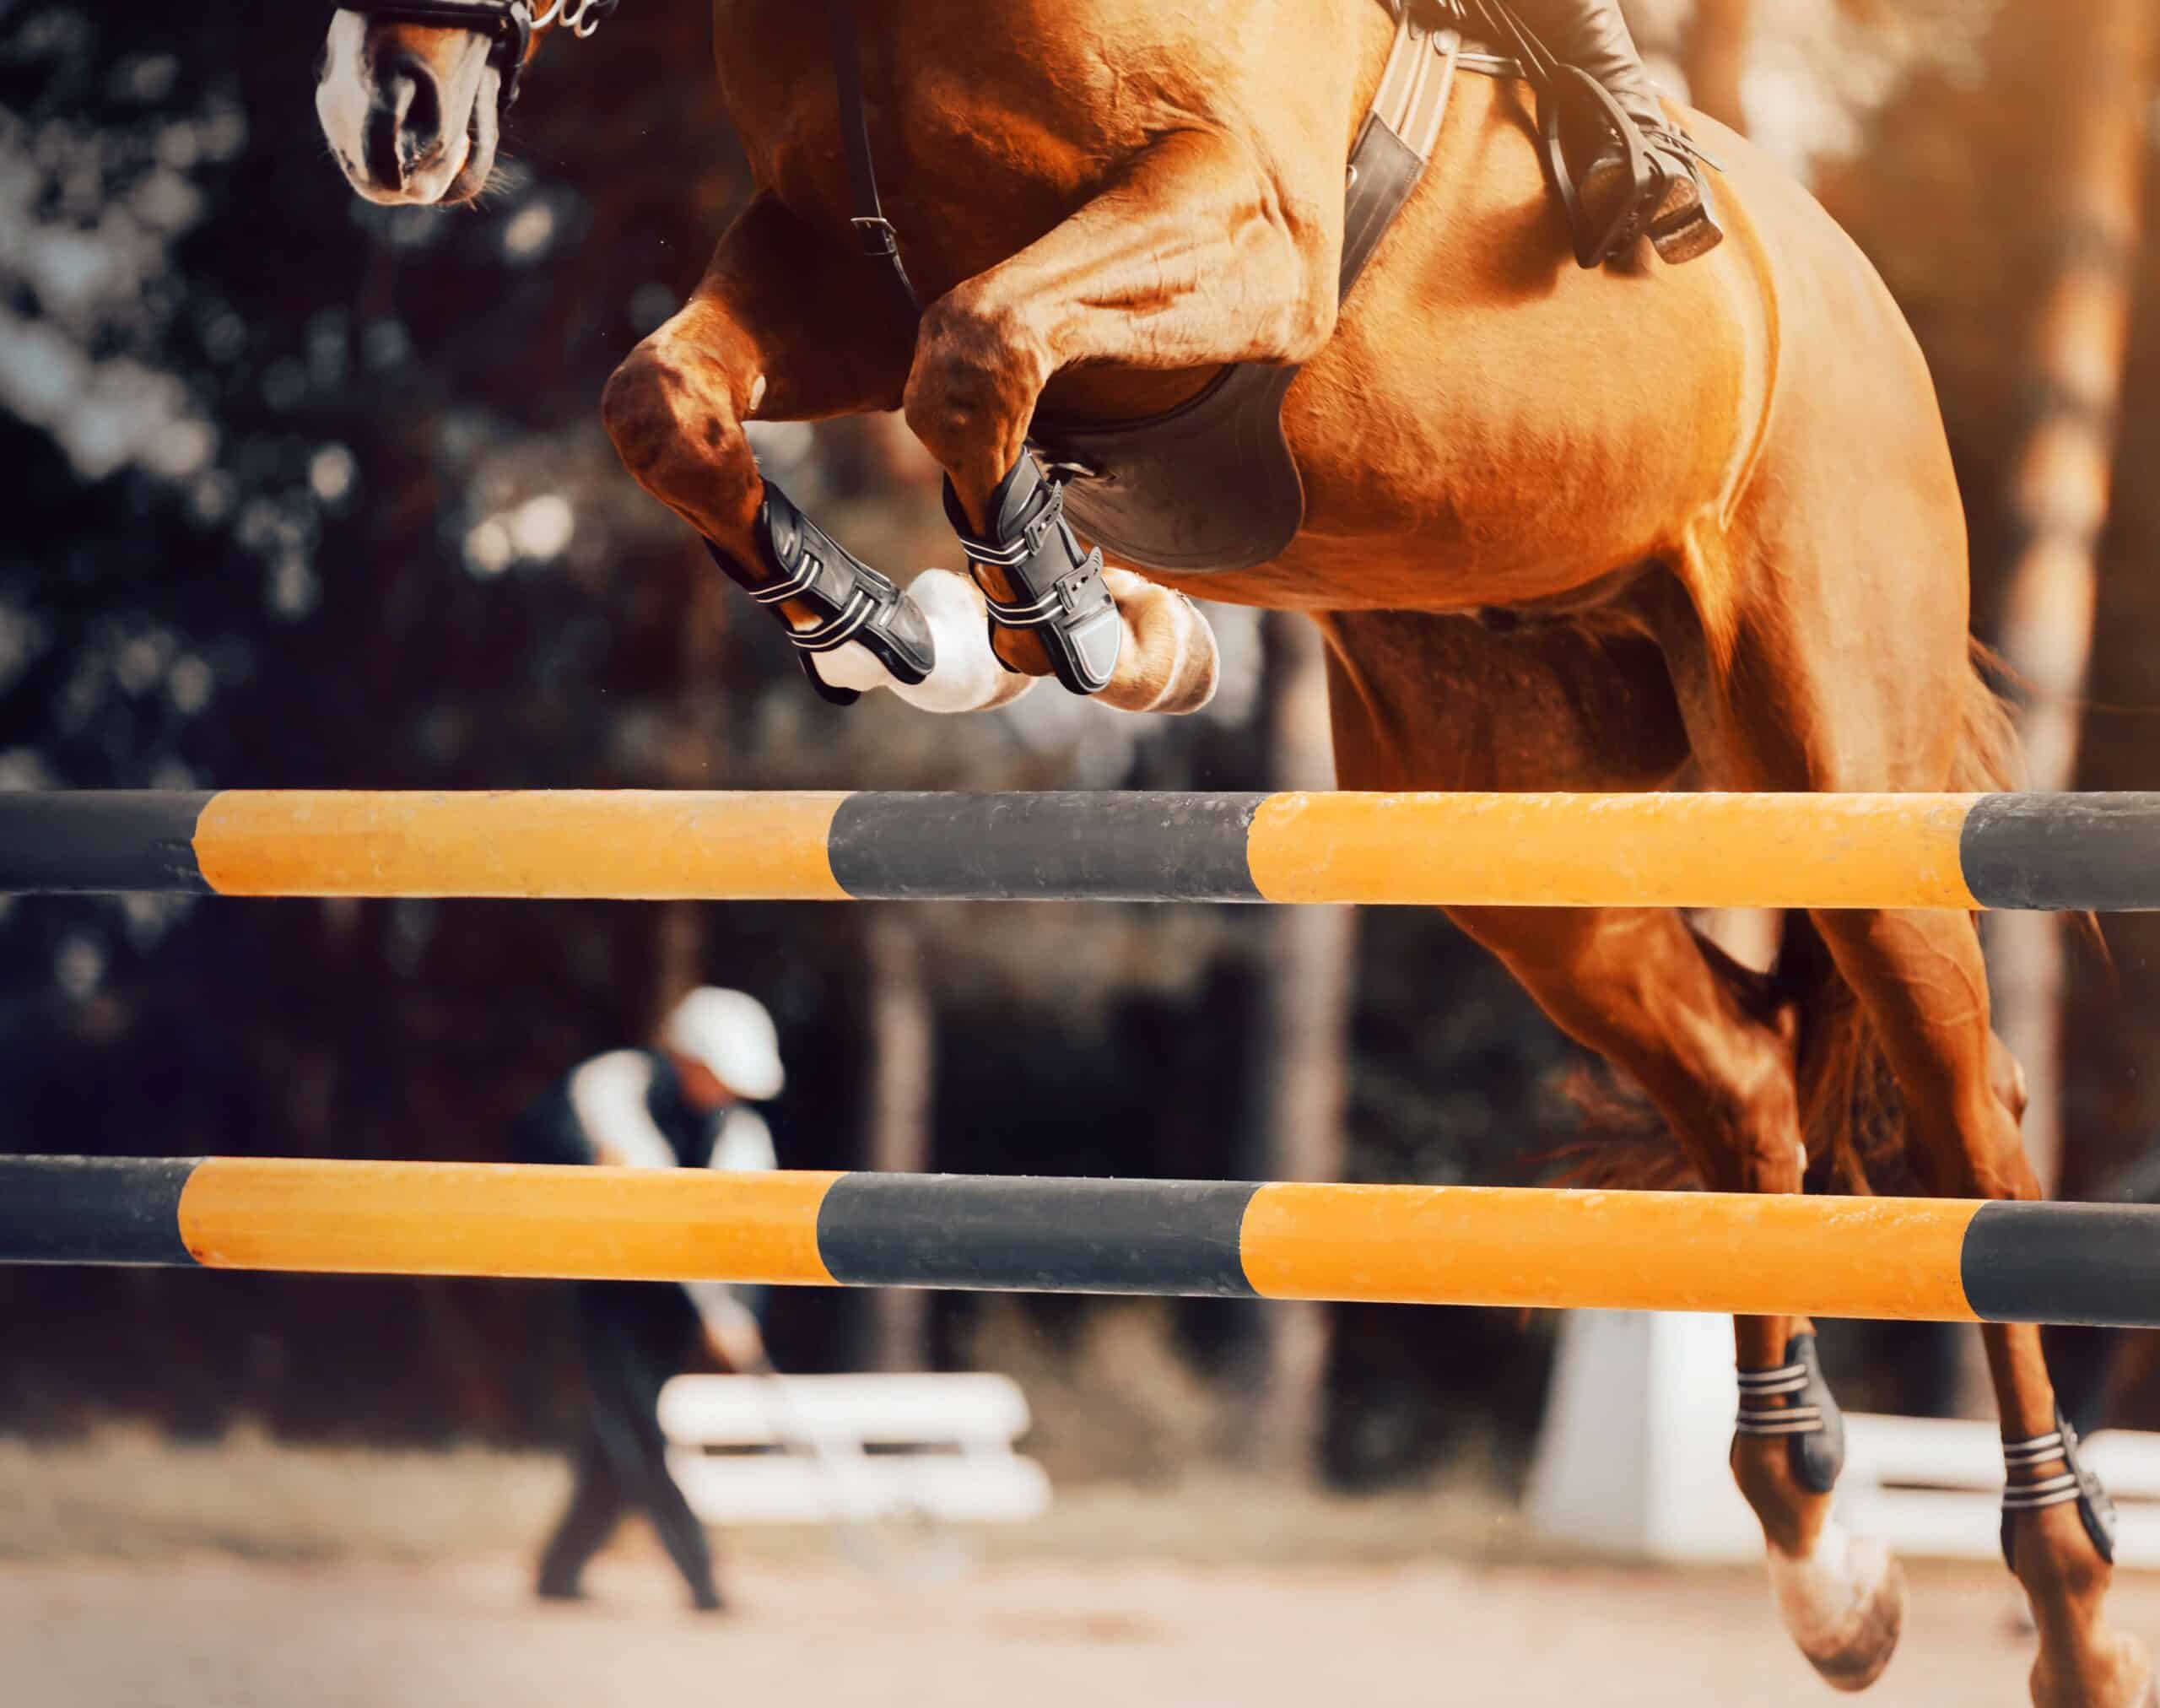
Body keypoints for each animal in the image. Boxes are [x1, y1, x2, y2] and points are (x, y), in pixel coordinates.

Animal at [313, 6, 2151, 1701]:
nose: (385, 120)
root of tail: (1851, 288)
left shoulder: (1237, 223)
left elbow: (975, 352)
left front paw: (1077, 625)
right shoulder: (830, 262)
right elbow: (673, 396)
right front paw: (886, 624)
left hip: (1836, 759)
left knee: (1968, 1129)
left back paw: (2066, 1603)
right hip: (1524, 843)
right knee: (1748, 1086)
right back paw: (1819, 1549)